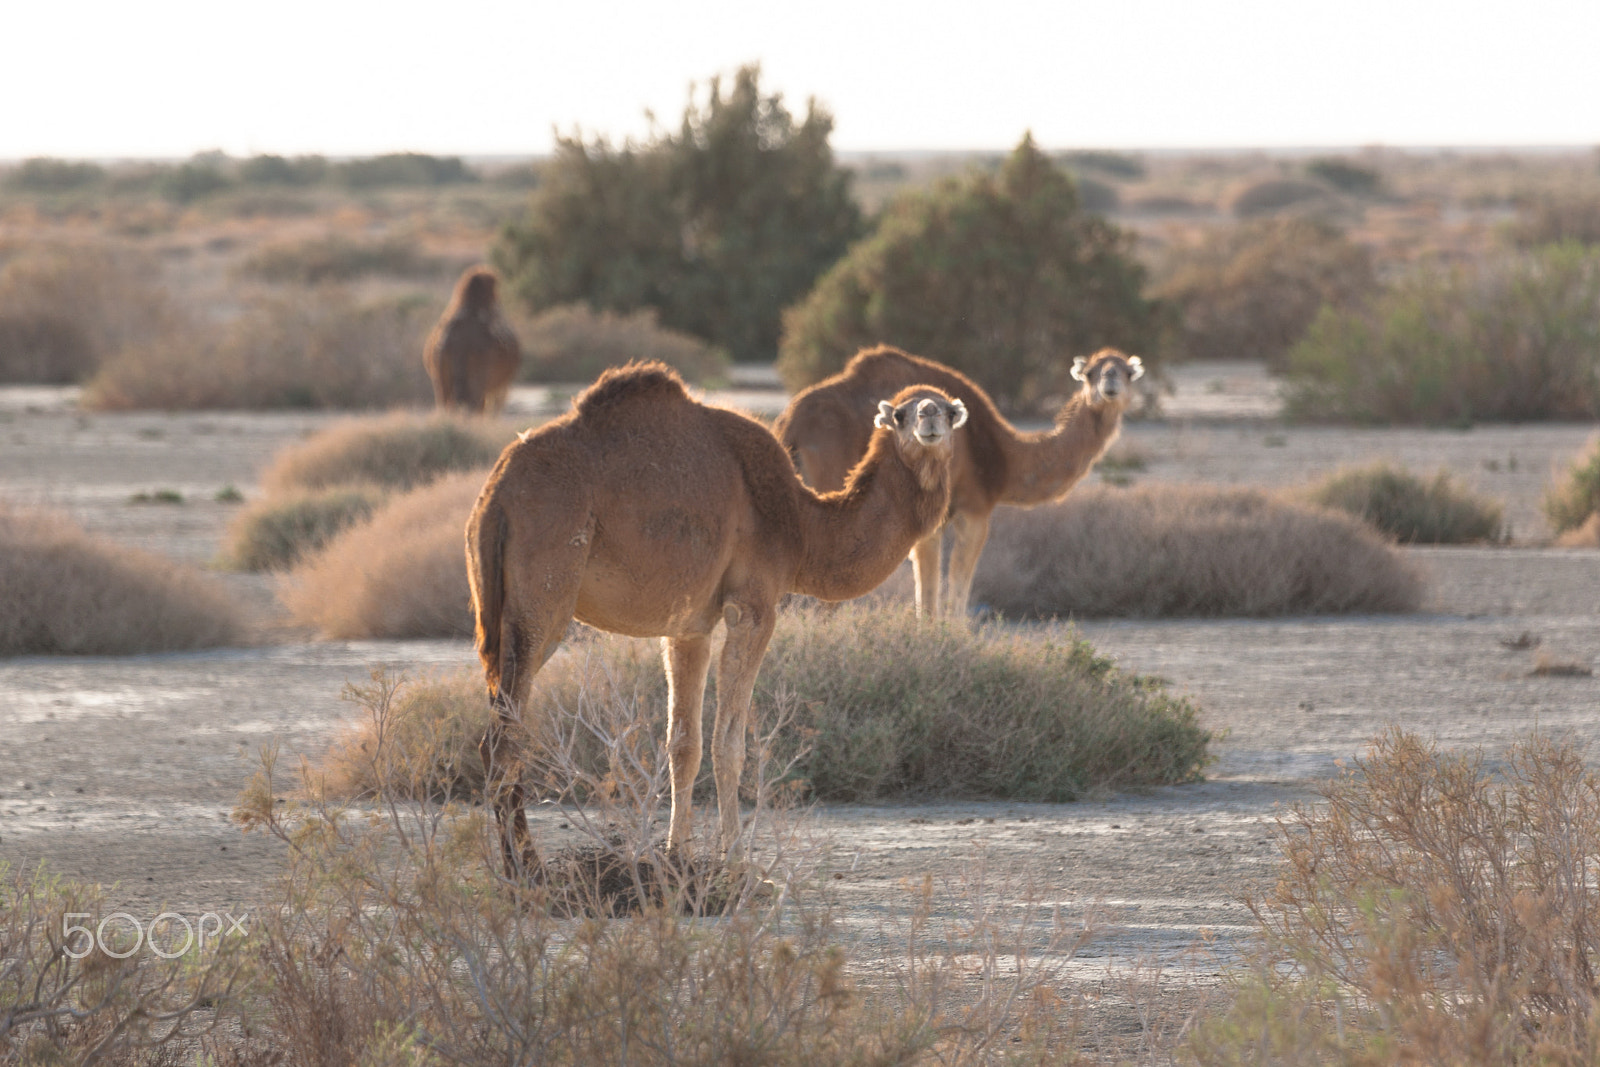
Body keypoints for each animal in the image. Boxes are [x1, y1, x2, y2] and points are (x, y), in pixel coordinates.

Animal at [466, 361, 967, 876]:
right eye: (902, 414)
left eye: (949, 411)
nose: (929, 418)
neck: (801, 526)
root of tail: (495, 496)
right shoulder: (753, 606)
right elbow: (729, 744)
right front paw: (738, 861)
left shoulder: (689, 625)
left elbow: (683, 744)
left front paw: (678, 856)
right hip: (544, 595)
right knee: (504, 738)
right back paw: (526, 868)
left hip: (496, 609)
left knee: (497, 729)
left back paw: (520, 863)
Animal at [773, 345, 1143, 619]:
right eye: (1091, 372)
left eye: (1125, 371)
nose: (1110, 382)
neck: (1003, 459)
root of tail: (791, 427)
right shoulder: (973, 510)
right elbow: (955, 588)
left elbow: (929, 592)